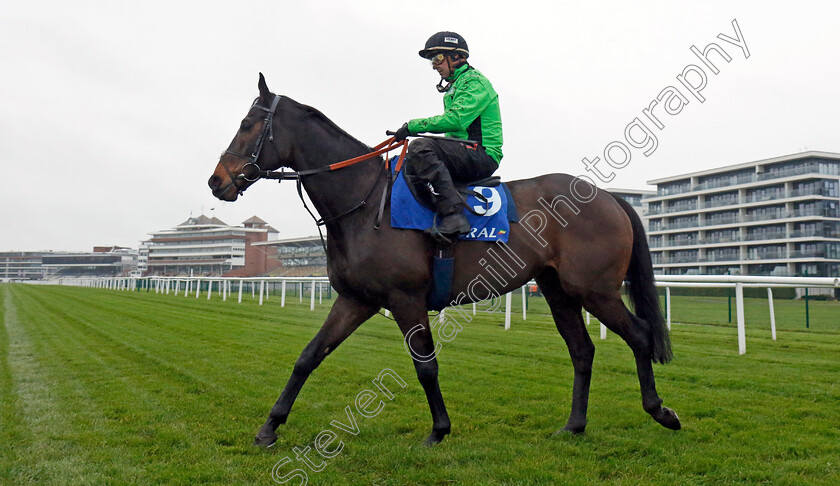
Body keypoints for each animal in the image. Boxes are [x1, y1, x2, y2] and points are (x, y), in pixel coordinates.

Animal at [207, 73, 680, 448]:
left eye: (247, 125)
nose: (216, 181)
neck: (365, 203)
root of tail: (609, 197)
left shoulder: (406, 299)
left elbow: (426, 367)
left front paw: (438, 430)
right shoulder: (355, 300)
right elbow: (308, 356)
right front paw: (269, 428)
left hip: (594, 289)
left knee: (640, 335)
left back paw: (661, 411)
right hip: (557, 289)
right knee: (582, 350)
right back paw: (574, 425)